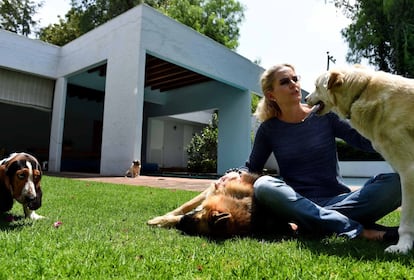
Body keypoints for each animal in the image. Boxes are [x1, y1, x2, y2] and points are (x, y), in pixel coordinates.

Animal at [147, 171, 296, 238]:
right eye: (195, 221)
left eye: (195, 225)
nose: (180, 225)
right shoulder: (213, 189)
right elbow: (185, 206)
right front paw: (161, 218)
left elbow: (180, 214)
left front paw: (163, 221)